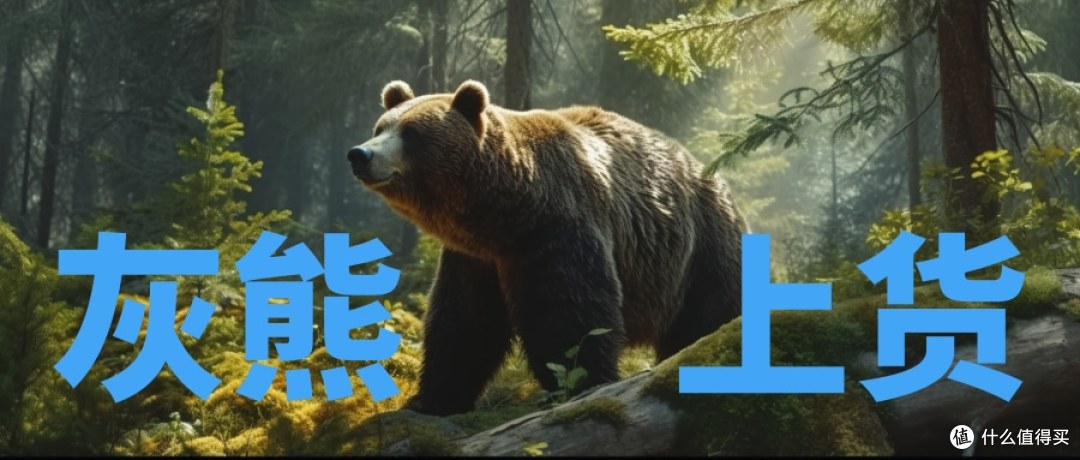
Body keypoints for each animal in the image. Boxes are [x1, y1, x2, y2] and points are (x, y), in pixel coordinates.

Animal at [346, 80, 748, 416]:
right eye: (381, 127)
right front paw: (432, 399)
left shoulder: (557, 232)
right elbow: (463, 322)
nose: (360, 154)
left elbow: (571, 318)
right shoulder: (475, 259)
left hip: (703, 247)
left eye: (411, 133)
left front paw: (579, 385)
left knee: (708, 315)